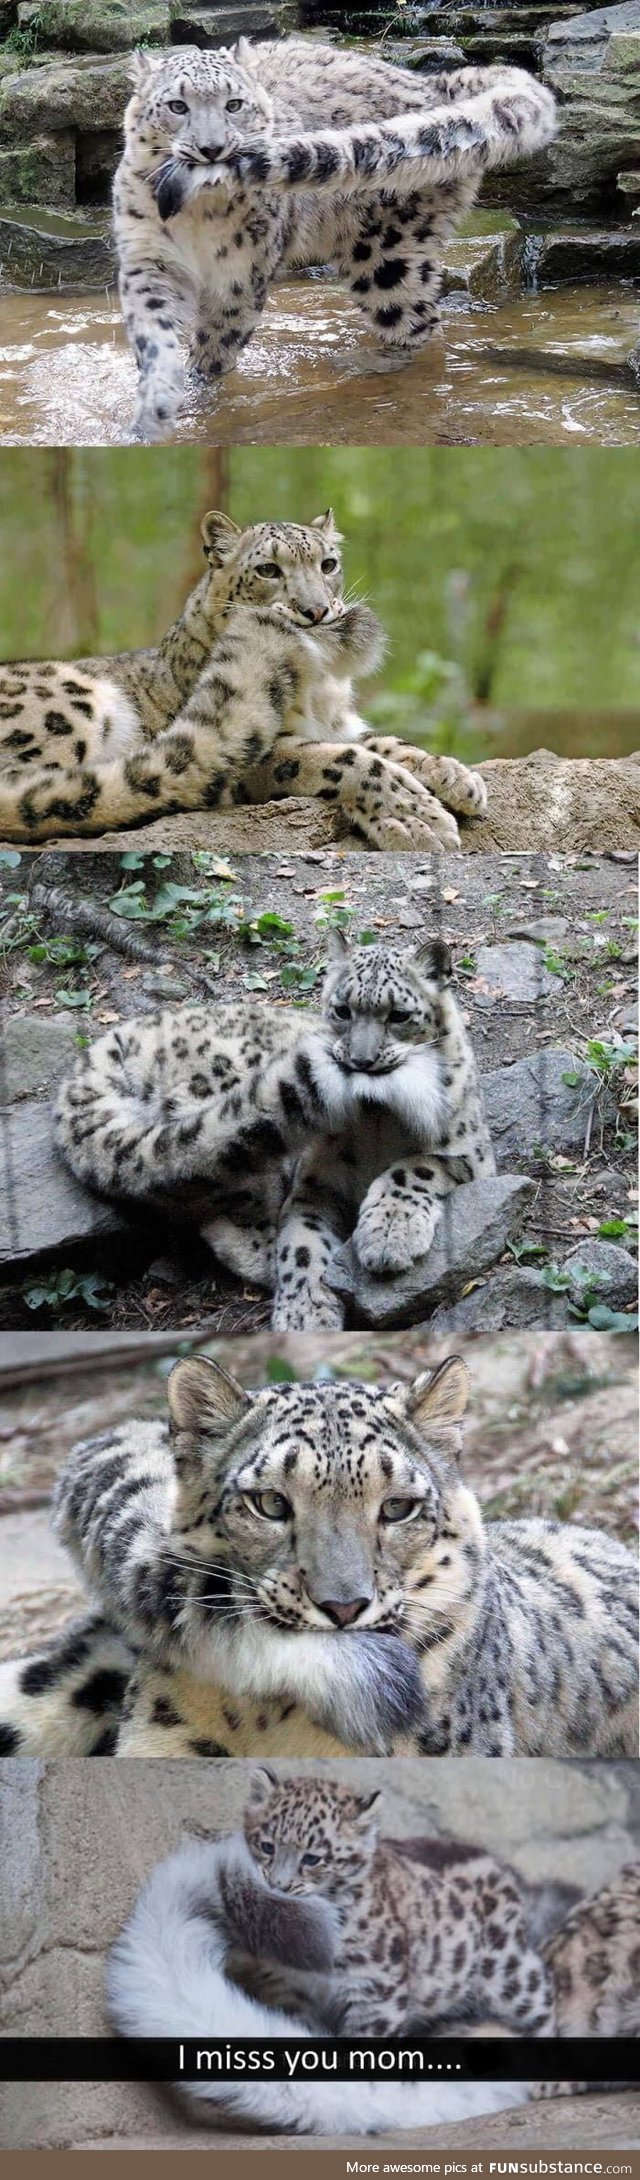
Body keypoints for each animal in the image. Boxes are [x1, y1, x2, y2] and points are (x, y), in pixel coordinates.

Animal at [0, 512, 485, 850]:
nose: (316, 610)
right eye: (269, 569)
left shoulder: (342, 724)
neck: (322, 688)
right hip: (71, 706)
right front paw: (417, 819)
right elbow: (340, 758)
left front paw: (455, 775)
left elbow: (385, 742)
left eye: (328, 564)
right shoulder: (268, 753)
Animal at [53, 924, 494, 1325]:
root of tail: (105, 1045)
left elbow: (417, 1165)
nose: (361, 1060)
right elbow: (301, 1245)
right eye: (343, 1010)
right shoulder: (314, 1184)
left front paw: (388, 1237)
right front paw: (304, 1314)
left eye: (399, 1015)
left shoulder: (473, 1155)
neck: (377, 1122)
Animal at [113, 36, 555, 436]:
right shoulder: (148, 257)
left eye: (233, 104)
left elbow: (218, 339)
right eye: (177, 105)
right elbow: (153, 331)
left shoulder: (240, 274)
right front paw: (157, 401)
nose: (211, 148)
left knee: (417, 320)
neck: (197, 215)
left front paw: (202, 384)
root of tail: (431, 83)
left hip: (385, 253)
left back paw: (371, 363)